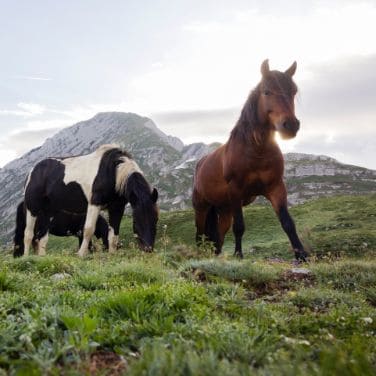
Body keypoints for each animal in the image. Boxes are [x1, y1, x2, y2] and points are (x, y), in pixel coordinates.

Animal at [20, 145, 159, 258]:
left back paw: (41, 256)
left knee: (42, 237)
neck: (112, 171)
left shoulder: (117, 208)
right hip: (32, 208)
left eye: (156, 219)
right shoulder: (94, 204)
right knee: (28, 234)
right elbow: (88, 230)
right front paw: (81, 254)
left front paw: (112, 255)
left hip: (48, 212)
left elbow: (113, 235)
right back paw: (25, 257)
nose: (148, 249)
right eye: (136, 220)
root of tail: (33, 170)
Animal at [194, 60, 308, 262]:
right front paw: (238, 254)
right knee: (200, 235)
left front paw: (301, 254)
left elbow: (287, 222)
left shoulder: (276, 188)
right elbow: (239, 226)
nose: (290, 125)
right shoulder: (236, 190)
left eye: (293, 91)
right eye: (266, 91)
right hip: (202, 207)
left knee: (219, 236)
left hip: (225, 209)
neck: (256, 152)